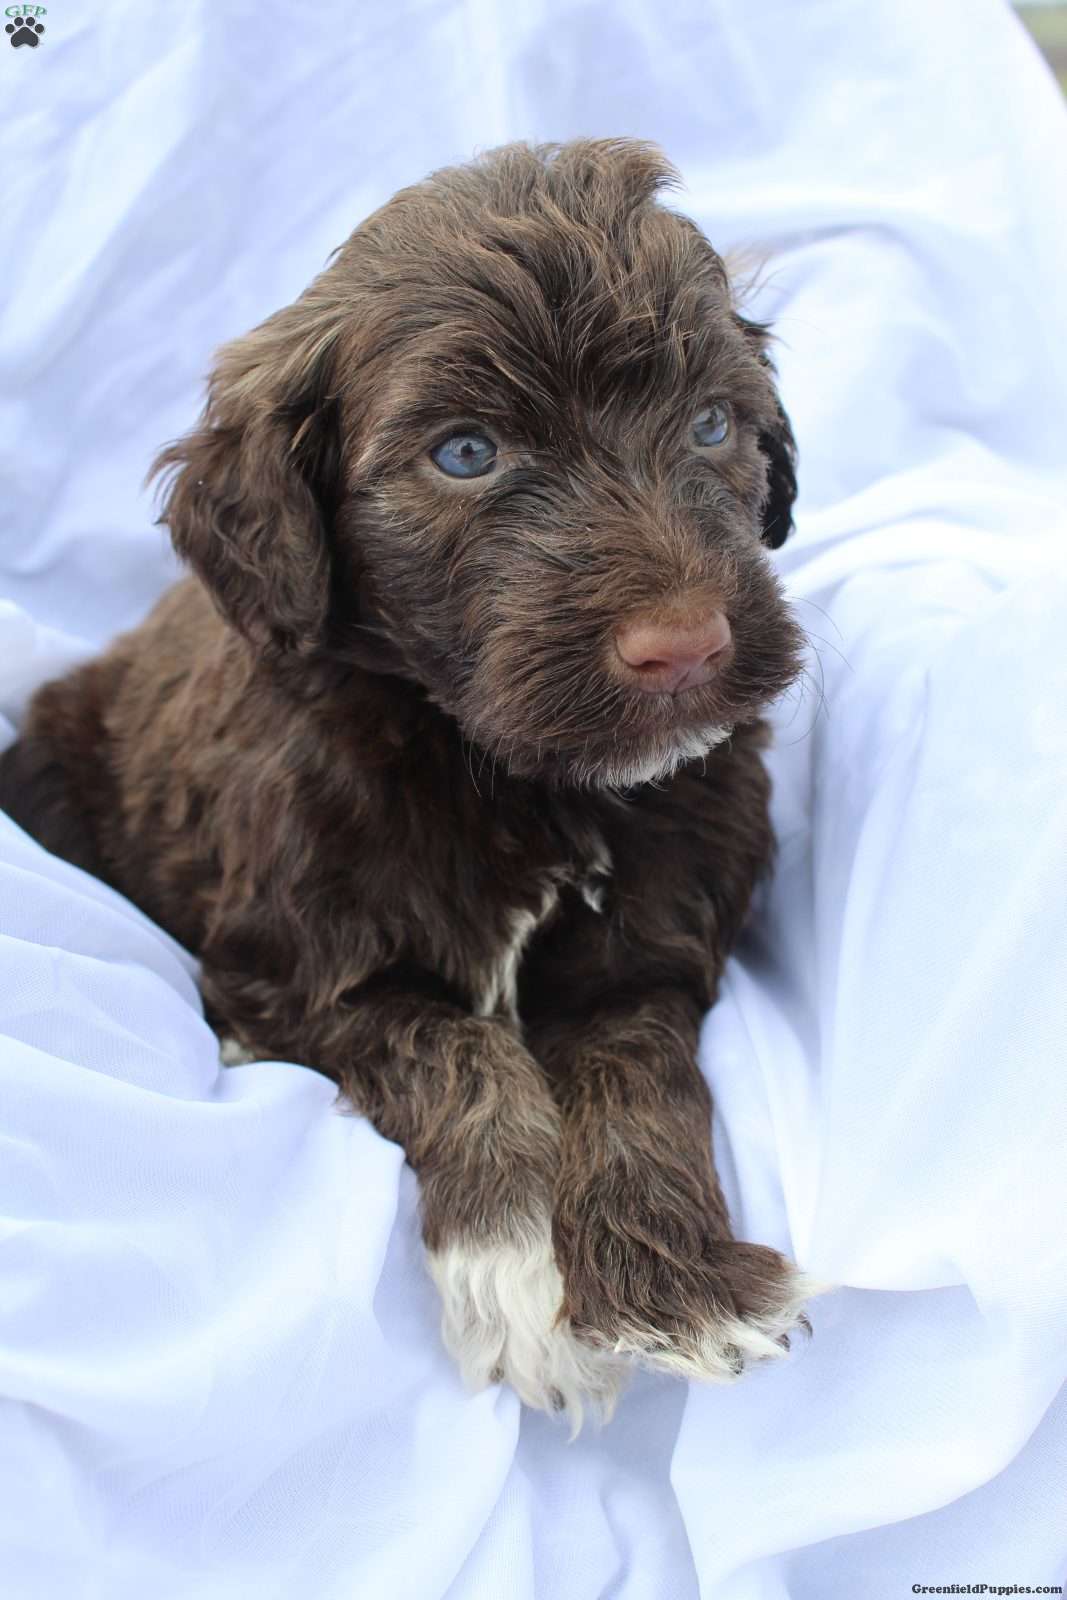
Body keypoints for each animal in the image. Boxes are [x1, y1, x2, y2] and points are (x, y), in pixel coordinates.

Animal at [0, 138, 814, 1425]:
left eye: (711, 425)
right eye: (466, 453)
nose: (684, 646)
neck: (512, 775)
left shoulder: (652, 947)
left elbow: (634, 1074)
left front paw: (669, 1280)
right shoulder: (288, 974)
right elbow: (456, 1048)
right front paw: (519, 1268)